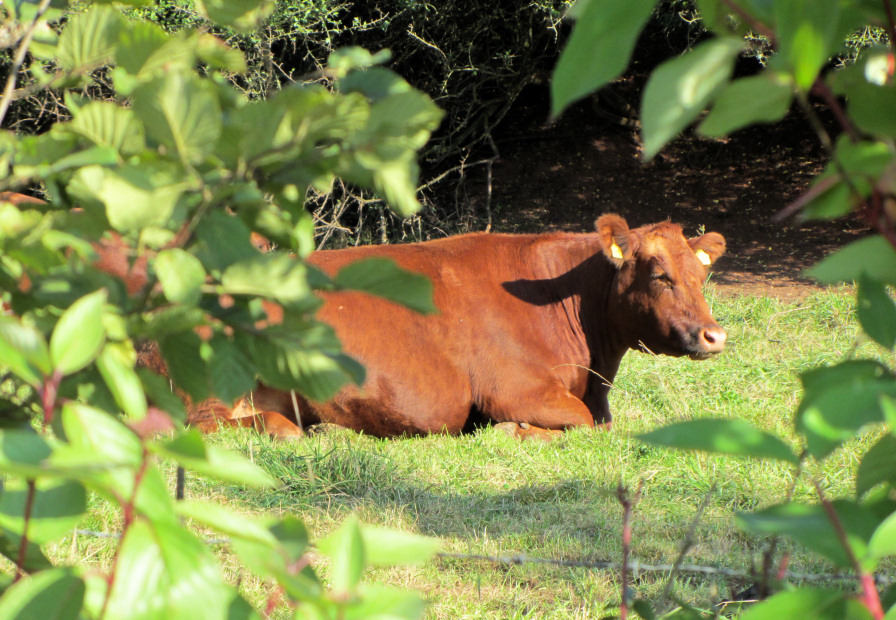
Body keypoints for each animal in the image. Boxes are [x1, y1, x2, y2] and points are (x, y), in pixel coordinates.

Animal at [191, 216, 728, 438]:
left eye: (702, 274)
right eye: (660, 275)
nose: (714, 335)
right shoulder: (516, 388)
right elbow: (582, 424)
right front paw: (516, 431)